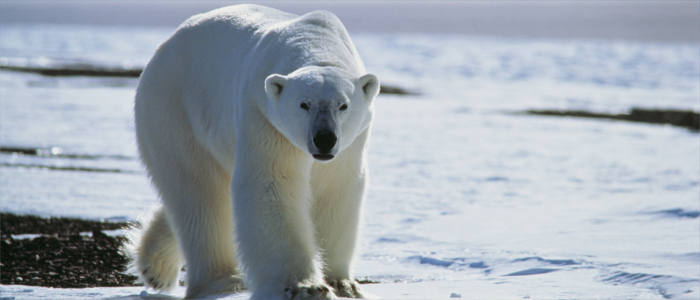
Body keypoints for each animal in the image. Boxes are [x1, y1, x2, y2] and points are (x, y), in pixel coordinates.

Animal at [134, 4, 380, 300]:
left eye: (343, 105)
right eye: (304, 104)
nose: (324, 139)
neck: (315, 41)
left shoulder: (349, 145)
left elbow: (336, 189)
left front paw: (342, 283)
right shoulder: (263, 117)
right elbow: (271, 185)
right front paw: (305, 286)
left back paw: (154, 266)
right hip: (175, 110)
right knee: (199, 194)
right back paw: (223, 280)